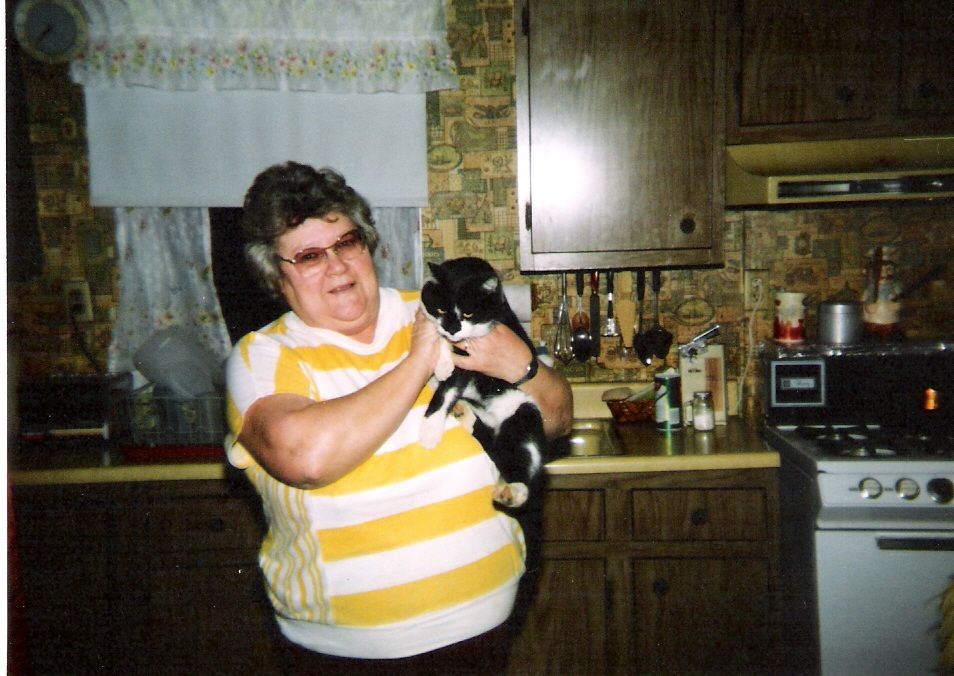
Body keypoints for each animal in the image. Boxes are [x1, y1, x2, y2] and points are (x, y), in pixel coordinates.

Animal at [418, 257, 546, 508]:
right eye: (441, 308)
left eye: (468, 313)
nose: (452, 328)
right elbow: (437, 337)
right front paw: (442, 363)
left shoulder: (475, 358)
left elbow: (447, 390)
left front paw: (429, 429)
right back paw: (462, 411)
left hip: (523, 413)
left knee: (524, 467)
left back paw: (513, 492)